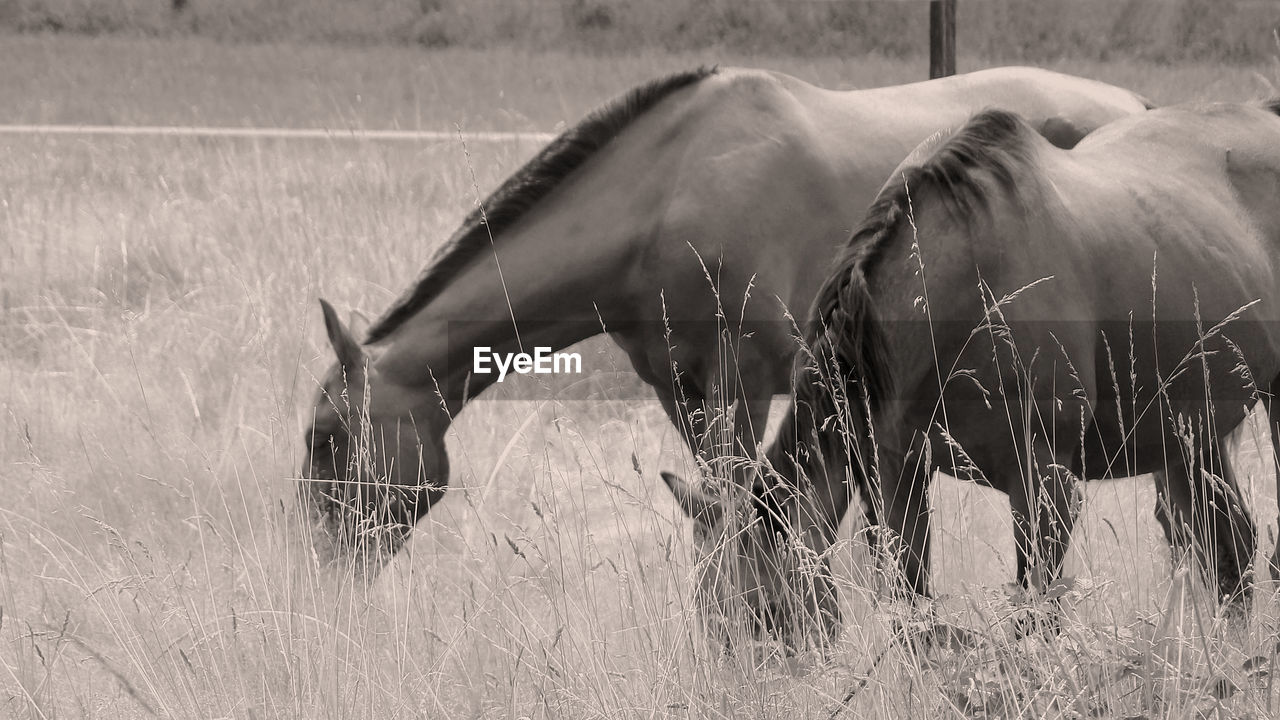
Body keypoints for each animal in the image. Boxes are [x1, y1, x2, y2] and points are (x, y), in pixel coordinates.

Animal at [660, 98, 1280, 640]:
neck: (960, 297)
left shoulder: (1045, 486)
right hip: (1191, 434)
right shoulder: (899, 481)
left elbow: (1036, 618)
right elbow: (912, 615)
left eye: (765, 611)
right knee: (1233, 553)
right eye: (706, 617)